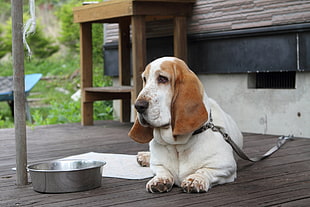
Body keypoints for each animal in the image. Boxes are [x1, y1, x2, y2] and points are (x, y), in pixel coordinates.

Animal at [128, 56, 242, 192]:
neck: (176, 145)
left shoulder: (225, 166)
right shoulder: (157, 165)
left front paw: (195, 180)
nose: (138, 106)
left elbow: (204, 171)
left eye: (162, 78)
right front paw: (160, 180)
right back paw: (144, 156)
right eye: (144, 79)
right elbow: (162, 170)